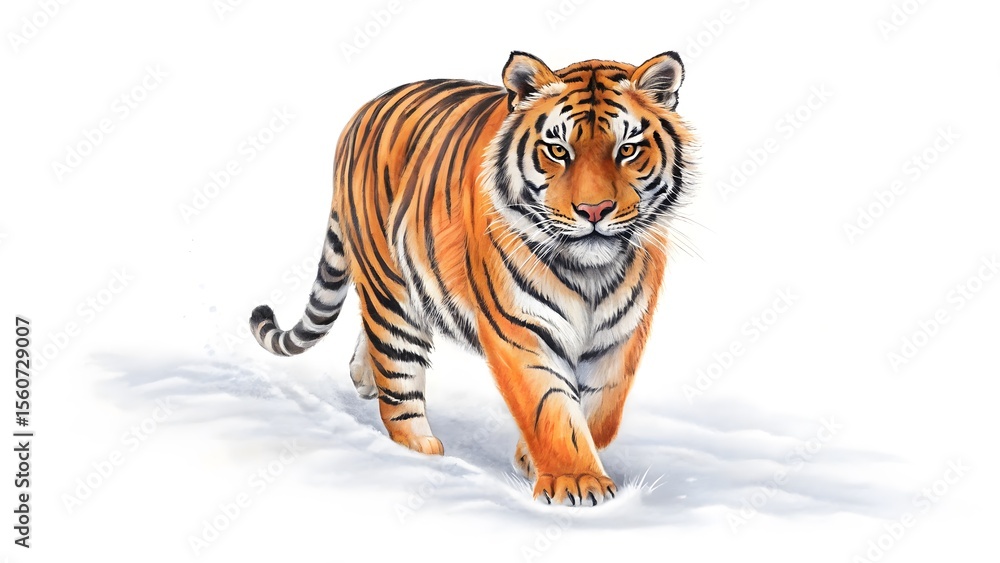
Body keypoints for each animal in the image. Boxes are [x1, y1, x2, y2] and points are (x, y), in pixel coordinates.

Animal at [249, 51, 695, 506]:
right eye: (557, 150)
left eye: (627, 150)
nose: (594, 211)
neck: (591, 272)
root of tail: (362, 112)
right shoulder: (519, 328)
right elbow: (549, 407)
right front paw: (577, 481)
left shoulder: (623, 333)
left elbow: (602, 409)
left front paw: (536, 459)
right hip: (389, 284)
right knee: (397, 367)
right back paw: (419, 449)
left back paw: (363, 378)